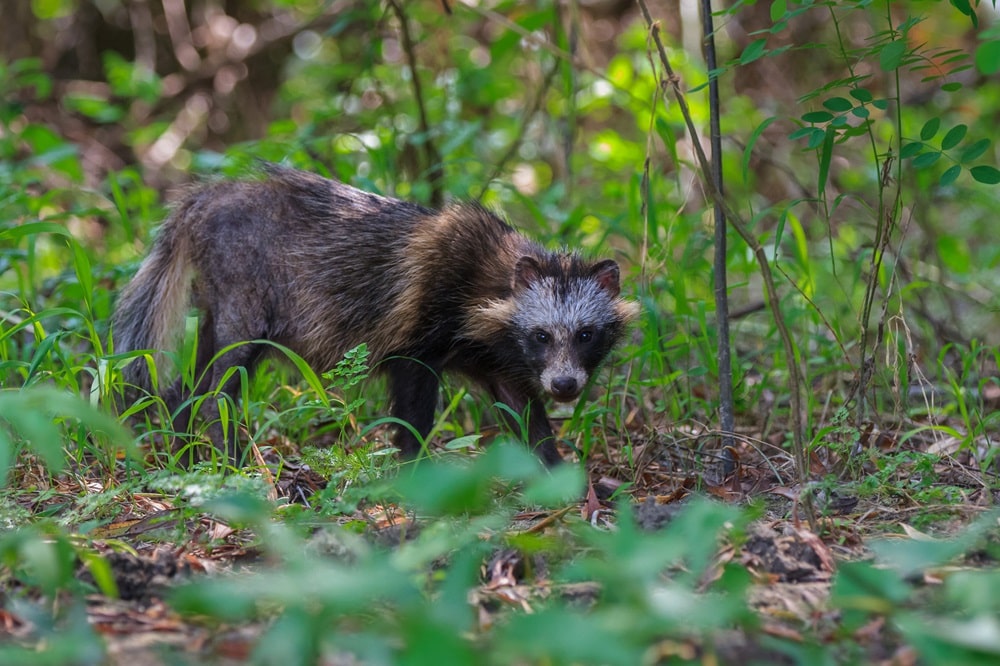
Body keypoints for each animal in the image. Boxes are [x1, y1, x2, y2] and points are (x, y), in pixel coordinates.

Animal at [111, 164, 640, 464]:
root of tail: (200, 203)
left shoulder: (498, 357)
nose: (565, 386)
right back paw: (227, 453)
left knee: (194, 380)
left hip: (219, 302)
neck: (493, 280)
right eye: (543, 336)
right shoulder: (422, 325)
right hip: (245, 286)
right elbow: (413, 404)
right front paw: (416, 465)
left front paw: (554, 468)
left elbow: (522, 409)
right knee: (218, 384)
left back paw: (186, 449)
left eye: (586, 334)